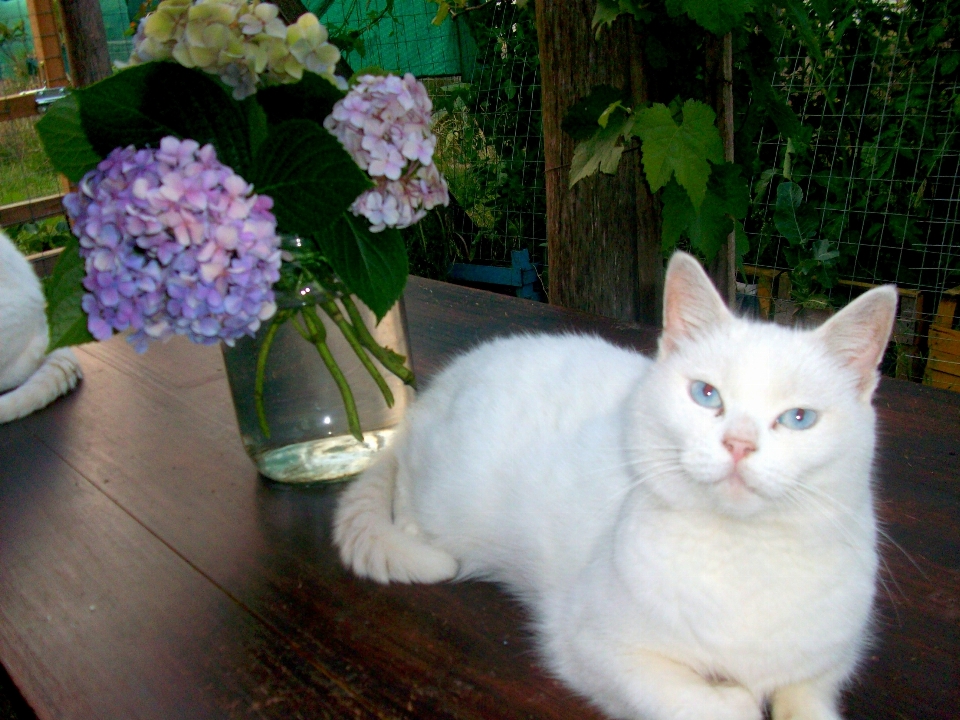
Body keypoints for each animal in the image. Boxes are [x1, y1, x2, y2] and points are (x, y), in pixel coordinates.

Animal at [334, 253, 896, 720]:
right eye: (706, 394)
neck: (744, 557)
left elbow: (808, 700)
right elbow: (710, 704)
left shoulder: (826, 665)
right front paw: (734, 695)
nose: (738, 444)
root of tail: (432, 393)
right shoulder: (592, 646)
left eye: (799, 418)